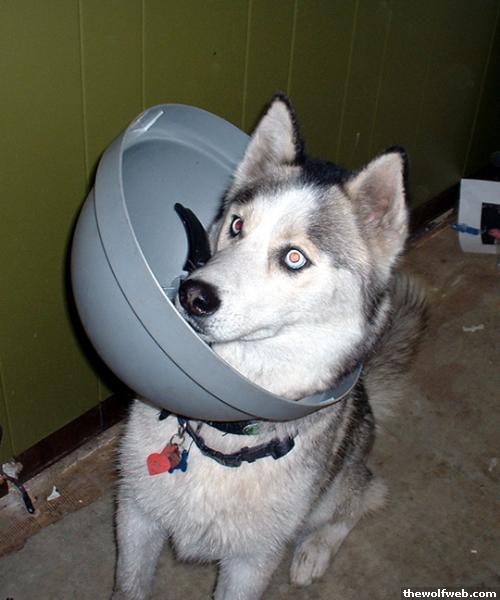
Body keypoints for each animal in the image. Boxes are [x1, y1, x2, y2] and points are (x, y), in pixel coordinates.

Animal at [112, 94, 427, 600]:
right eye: (237, 225)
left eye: (294, 258)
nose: (193, 295)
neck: (220, 437)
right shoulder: (136, 516)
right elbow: (130, 584)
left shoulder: (252, 561)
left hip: (333, 491)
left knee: (364, 497)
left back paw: (314, 550)